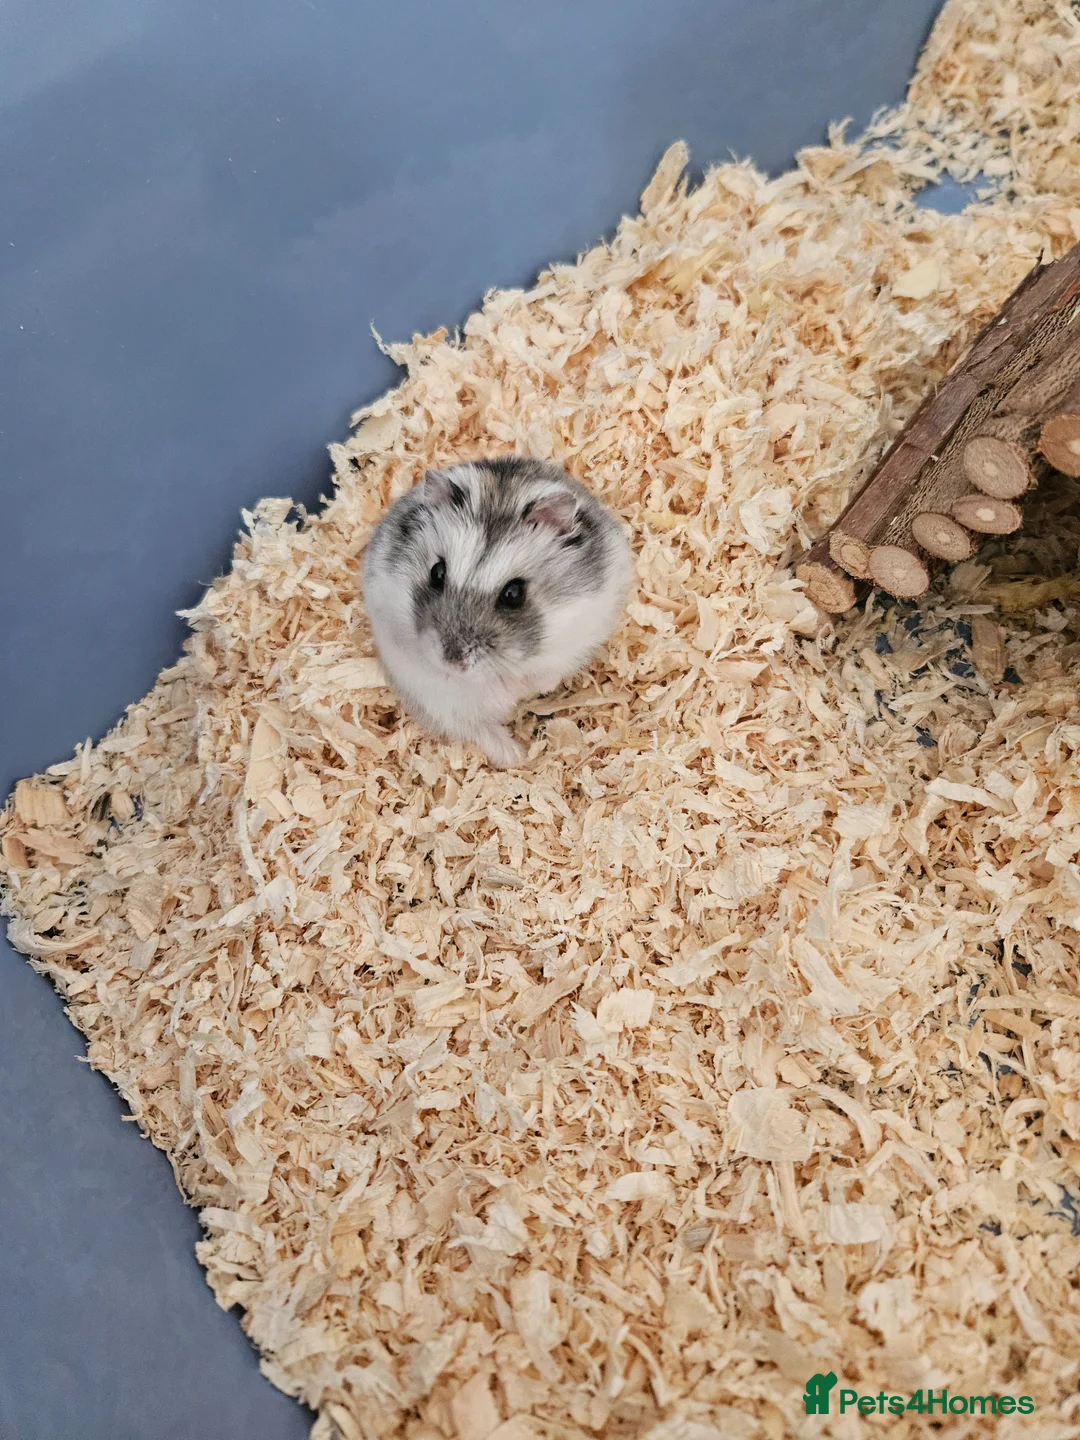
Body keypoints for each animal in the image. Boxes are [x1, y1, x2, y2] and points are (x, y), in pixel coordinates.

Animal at [362, 456, 632, 767]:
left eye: (513, 594)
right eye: (437, 573)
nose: (454, 662)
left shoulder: (579, 632)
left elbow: (543, 672)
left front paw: (527, 690)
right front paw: (505, 696)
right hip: (438, 700)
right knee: (477, 729)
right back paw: (516, 756)